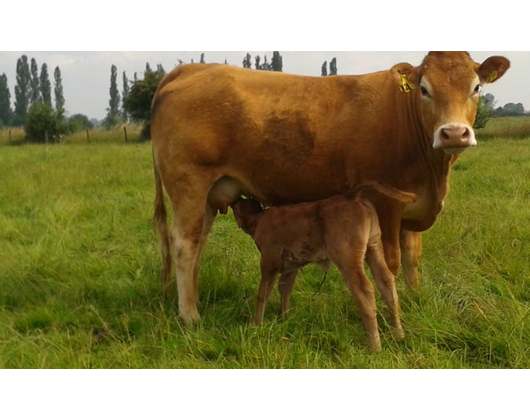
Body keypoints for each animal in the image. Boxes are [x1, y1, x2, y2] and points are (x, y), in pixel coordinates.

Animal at [152, 50, 508, 324]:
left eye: (476, 87)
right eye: (424, 89)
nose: (454, 133)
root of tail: (193, 68)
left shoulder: (413, 206)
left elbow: (412, 258)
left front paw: (415, 299)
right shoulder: (386, 207)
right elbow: (391, 263)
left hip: (208, 195)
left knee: (198, 243)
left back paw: (193, 302)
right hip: (189, 184)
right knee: (184, 245)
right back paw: (190, 316)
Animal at [231, 182, 416, 352]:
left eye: (239, 205)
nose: (234, 200)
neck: (259, 219)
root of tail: (351, 196)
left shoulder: (269, 261)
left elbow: (263, 294)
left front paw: (256, 324)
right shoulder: (291, 267)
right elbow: (285, 289)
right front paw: (283, 318)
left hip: (348, 259)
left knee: (365, 290)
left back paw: (374, 345)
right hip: (373, 247)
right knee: (386, 283)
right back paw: (398, 334)